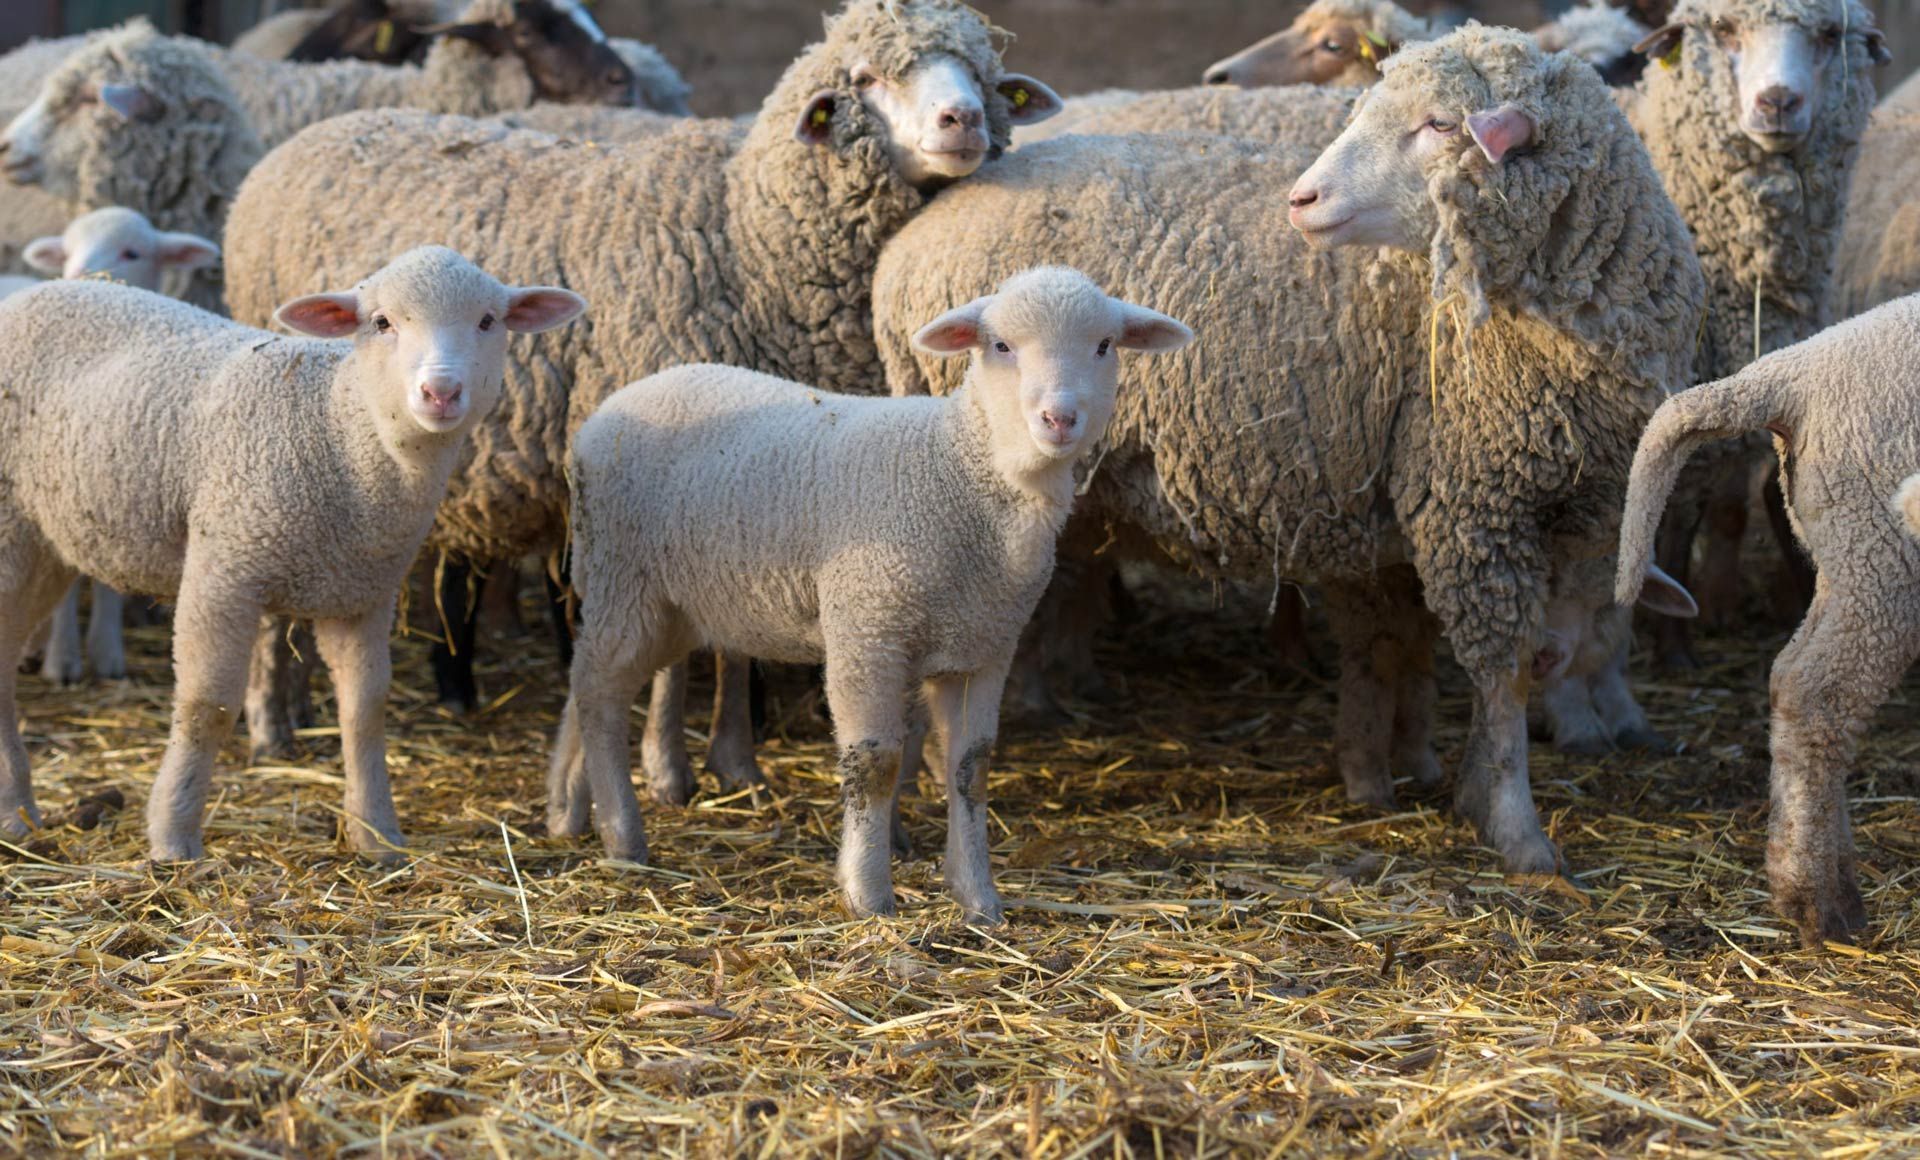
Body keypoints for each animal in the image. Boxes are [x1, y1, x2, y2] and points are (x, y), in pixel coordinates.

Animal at [221, 0, 1063, 781]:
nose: (963, 119)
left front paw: (738, 749)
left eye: (983, 72)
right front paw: (670, 764)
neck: (744, 238)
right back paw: (272, 722)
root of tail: (319, 132)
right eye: (867, 78)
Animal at [549, 267, 1191, 921]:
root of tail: (613, 407)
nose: (1058, 419)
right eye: (1001, 346)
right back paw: (623, 836)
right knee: (599, 692)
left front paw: (979, 898)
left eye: (1105, 345)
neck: (959, 471)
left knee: (584, 679)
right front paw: (869, 894)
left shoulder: (984, 647)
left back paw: (568, 808)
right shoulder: (868, 631)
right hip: (627, 580)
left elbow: (972, 769)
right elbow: (876, 764)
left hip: (668, 602)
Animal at [871, 25, 1706, 874]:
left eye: (1441, 125)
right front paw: (1515, 829)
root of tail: (920, 230)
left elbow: (1425, 648)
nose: (1302, 200)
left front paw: (1437, 773)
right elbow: (1498, 675)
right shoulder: (1470, 502)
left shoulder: (1551, 506)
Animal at [1614, 294, 1920, 946]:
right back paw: (1818, 903)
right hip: (1883, 557)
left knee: (1791, 681)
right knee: (1819, 698)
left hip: (1847, 552)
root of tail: (1791, 373)